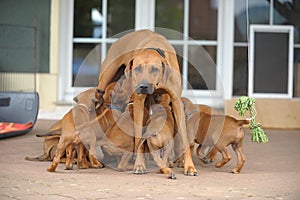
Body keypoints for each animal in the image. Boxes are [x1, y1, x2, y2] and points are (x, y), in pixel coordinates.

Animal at [96, 28, 198, 176]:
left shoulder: (176, 102)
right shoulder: (139, 103)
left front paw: (189, 166)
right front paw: (139, 164)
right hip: (104, 82)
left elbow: (184, 138)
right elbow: (139, 137)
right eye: (137, 68)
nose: (143, 86)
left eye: (154, 69)